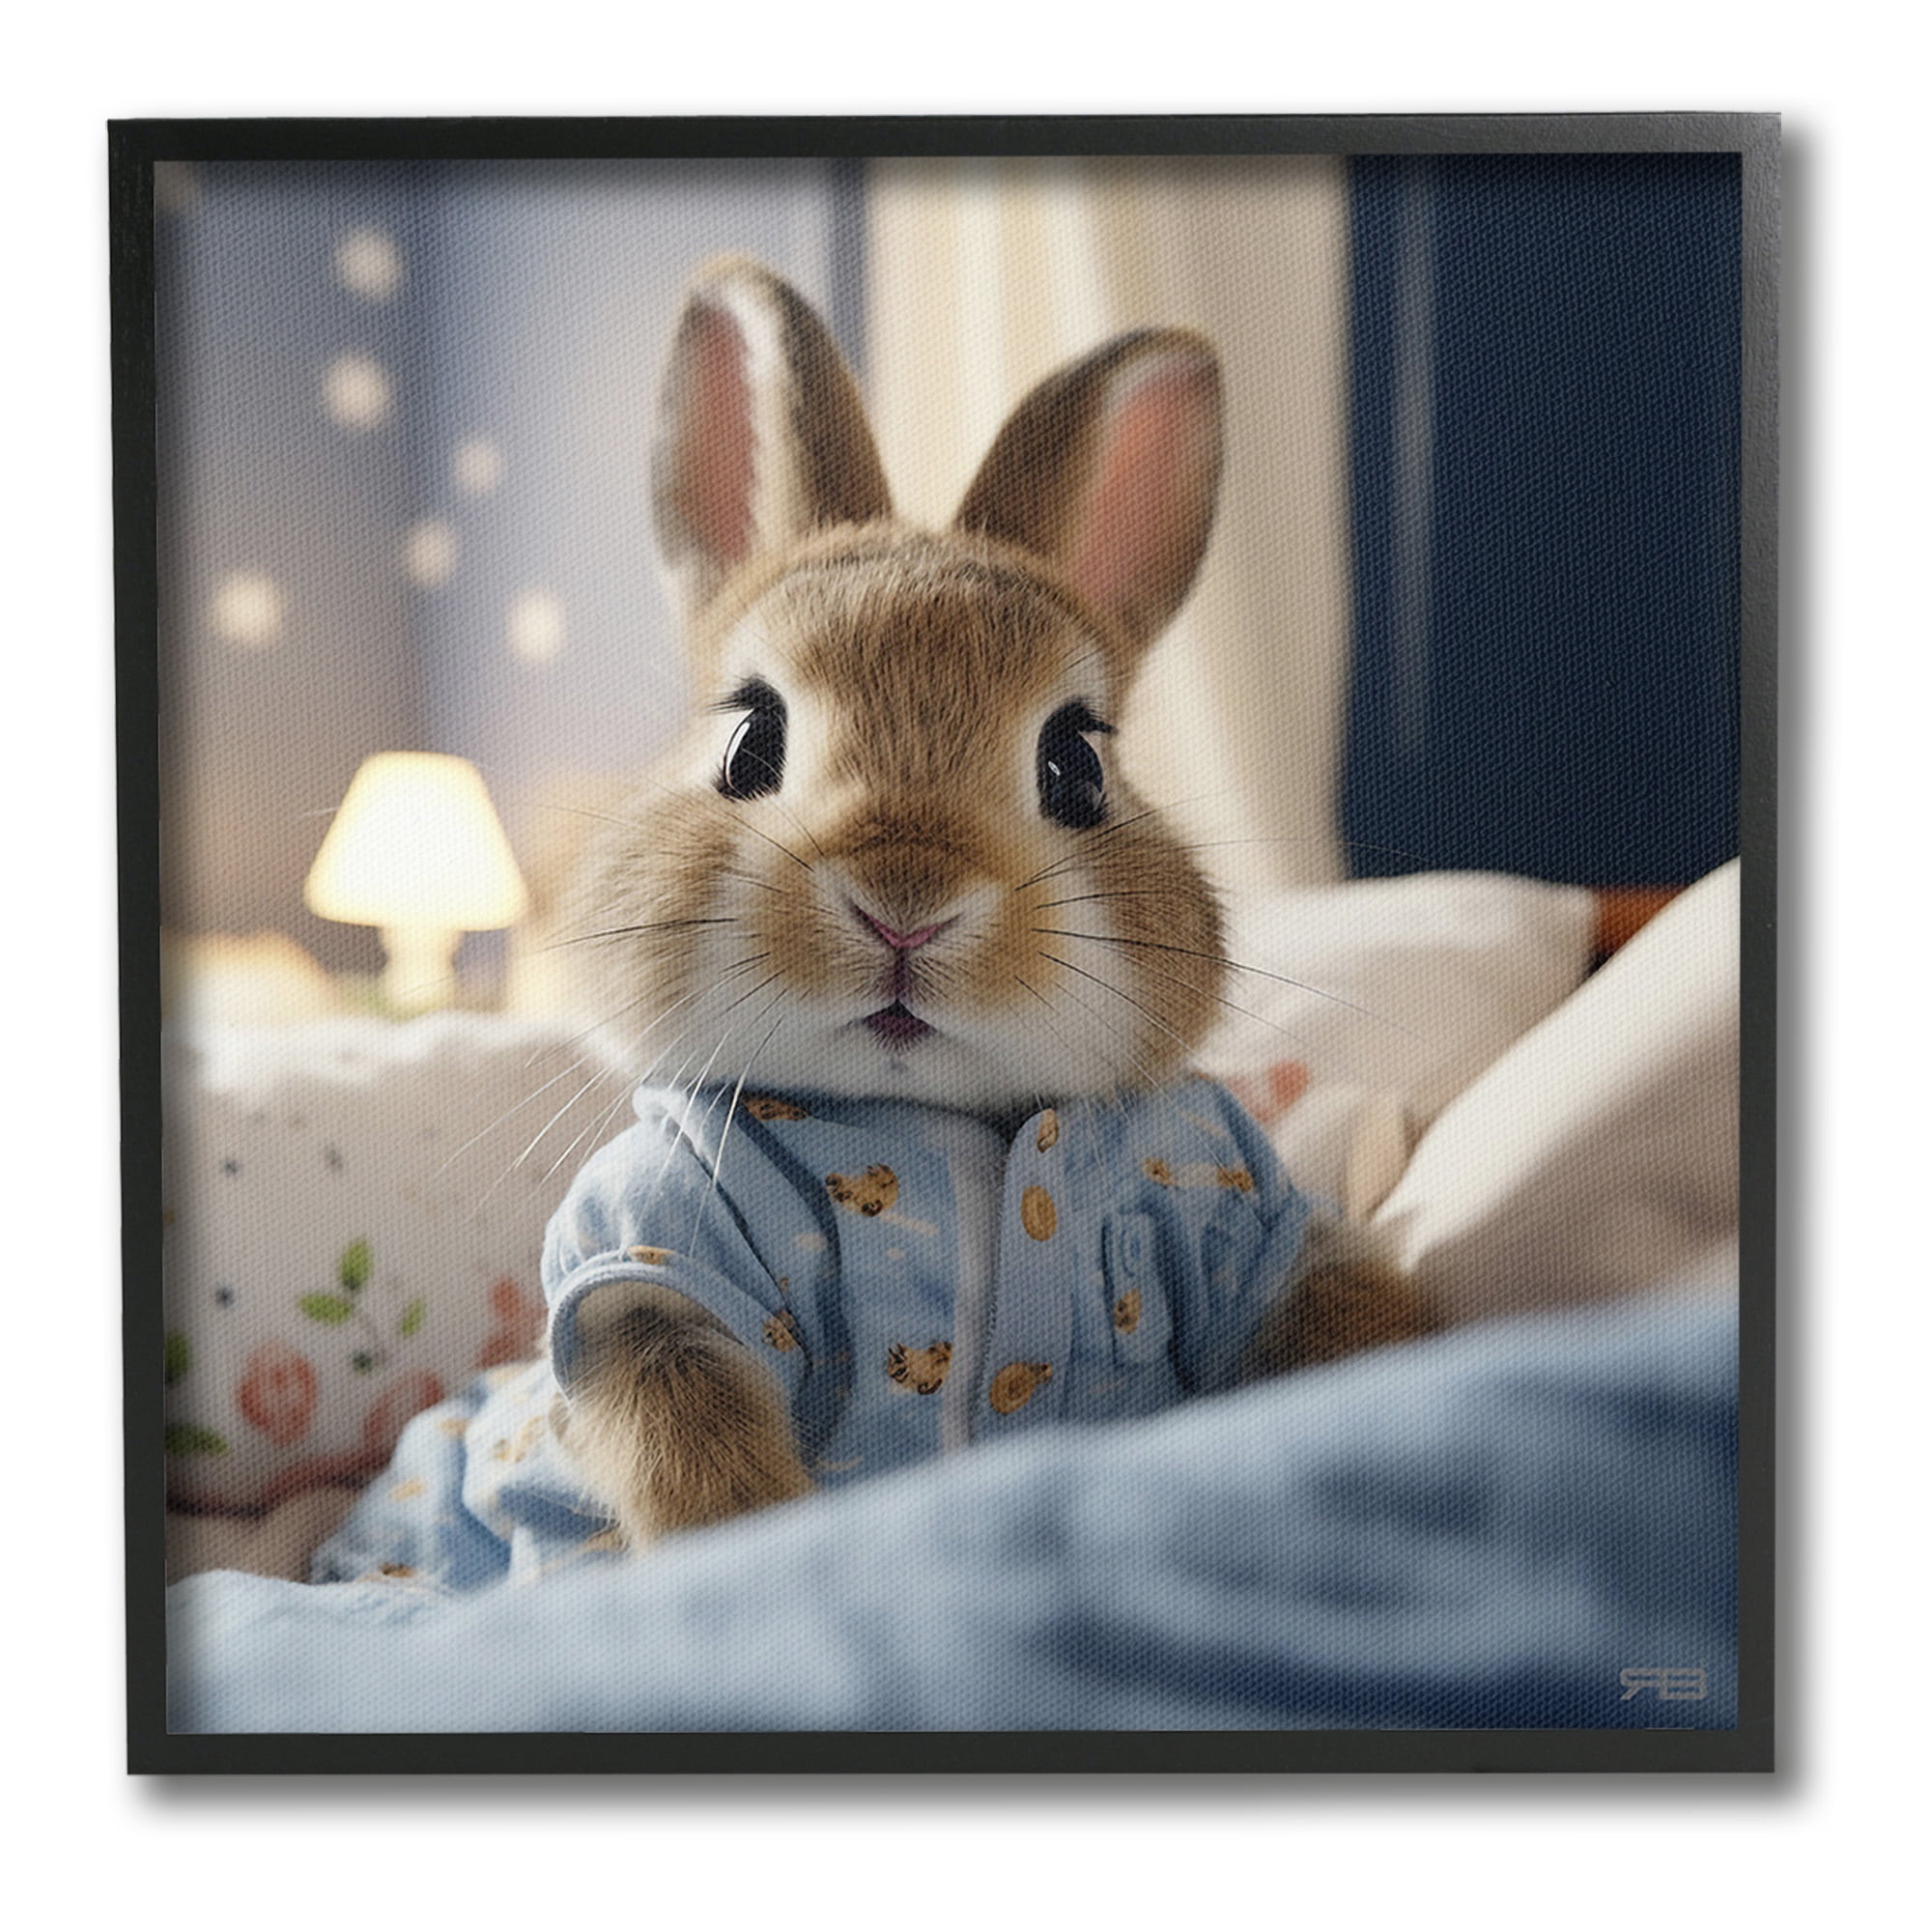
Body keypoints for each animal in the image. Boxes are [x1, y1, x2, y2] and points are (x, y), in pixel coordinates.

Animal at [544, 257, 1440, 1550]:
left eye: (1074, 765)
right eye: (749, 742)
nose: (903, 905)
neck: (943, 1125)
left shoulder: (1250, 1216)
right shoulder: (654, 1257)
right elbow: (684, 1424)